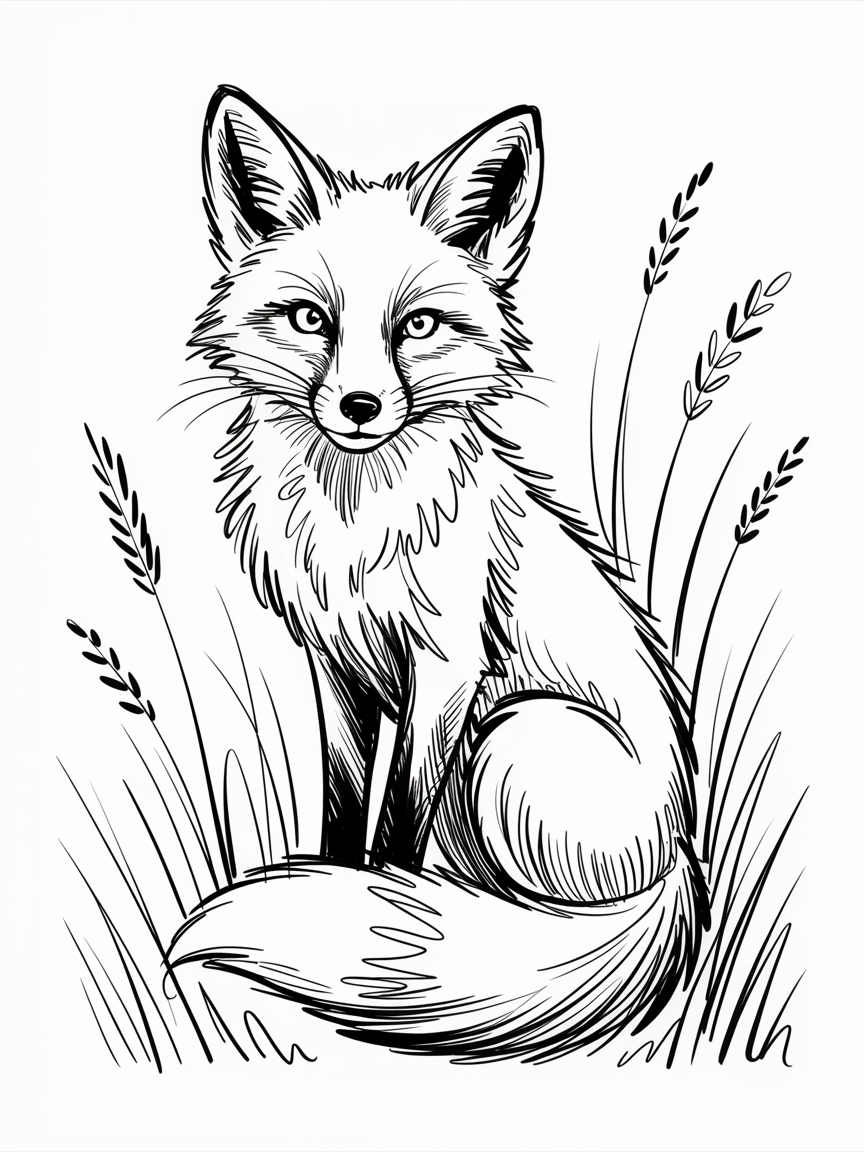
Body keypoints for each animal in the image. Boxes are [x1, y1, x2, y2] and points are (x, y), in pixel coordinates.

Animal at [167, 85, 710, 1062]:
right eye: (311, 318)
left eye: (416, 325)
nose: (359, 406)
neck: (355, 530)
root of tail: (682, 860)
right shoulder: (336, 668)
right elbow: (345, 804)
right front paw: (335, 885)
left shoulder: (447, 669)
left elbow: (398, 827)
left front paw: (383, 910)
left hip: (508, 739)